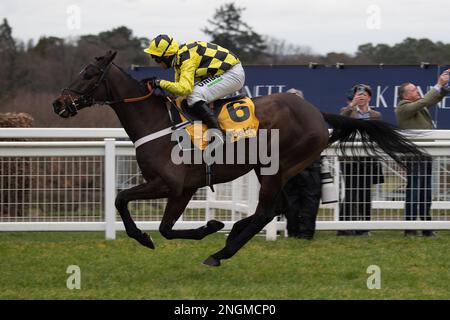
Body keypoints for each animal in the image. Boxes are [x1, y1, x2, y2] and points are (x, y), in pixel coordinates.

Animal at [52, 51, 426, 266]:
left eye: (88, 74)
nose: (58, 103)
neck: (158, 123)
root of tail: (317, 112)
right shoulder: (183, 188)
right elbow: (161, 225)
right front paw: (206, 227)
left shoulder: (170, 184)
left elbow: (129, 204)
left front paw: (188, 230)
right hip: (269, 169)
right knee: (275, 210)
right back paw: (230, 237)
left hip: (280, 167)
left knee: (265, 212)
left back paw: (222, 250)